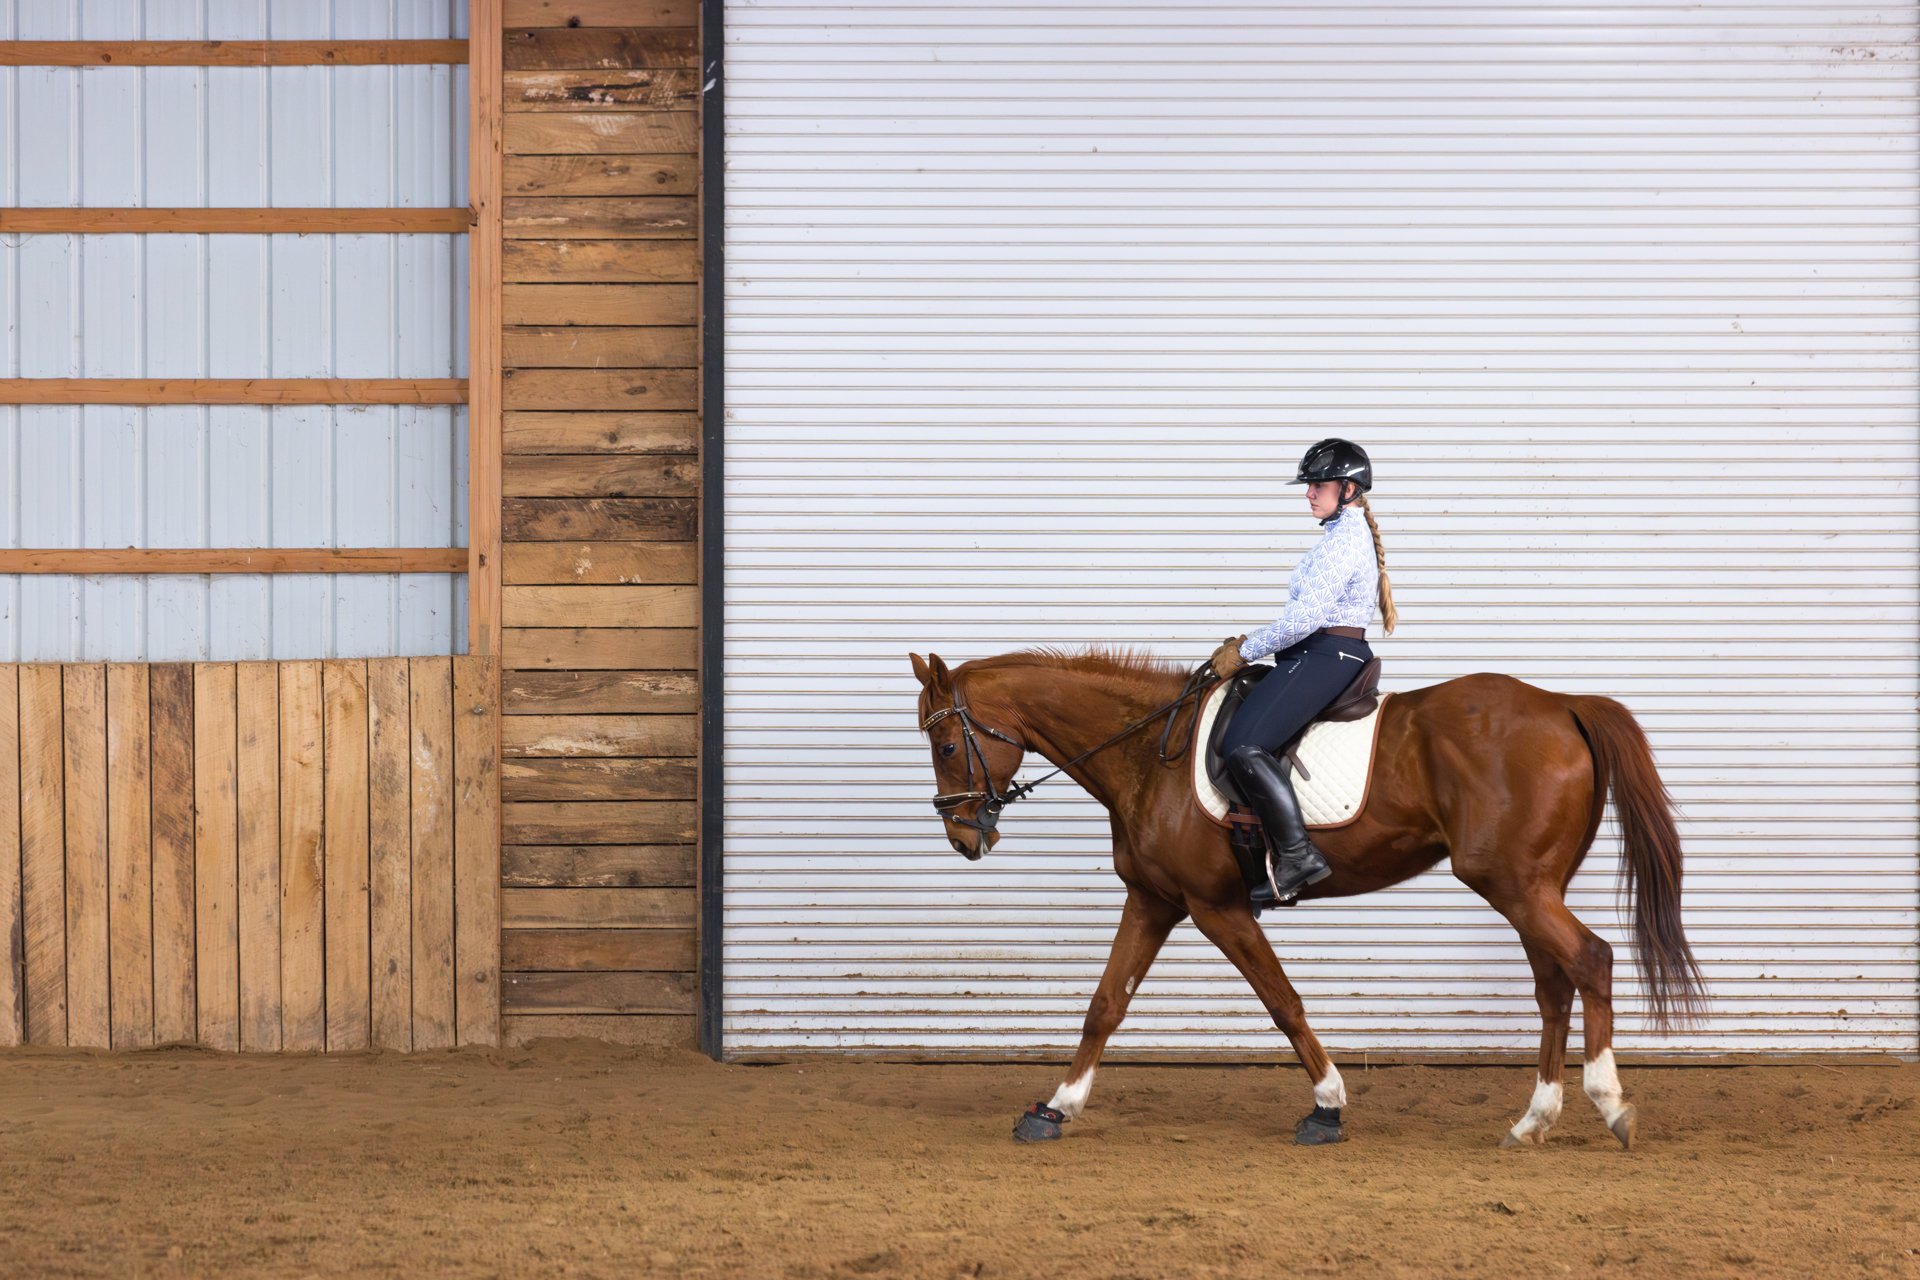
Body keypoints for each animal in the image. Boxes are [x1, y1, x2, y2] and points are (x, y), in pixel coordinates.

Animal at [909, 646, 1705, 1148]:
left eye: (945, 746)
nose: (962, 836)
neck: (1148, 756)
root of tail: (1563, 704)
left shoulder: (1215, 906)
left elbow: (1282, 1001)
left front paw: (1328, 1107)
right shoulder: (1155, 900)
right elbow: (1105, 1005)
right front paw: (1054, 1108)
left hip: (1516, 885)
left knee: (1591, 961)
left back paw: (1609, 1104)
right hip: (1529, 885)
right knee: (1554, 985)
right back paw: (1533, 1120)